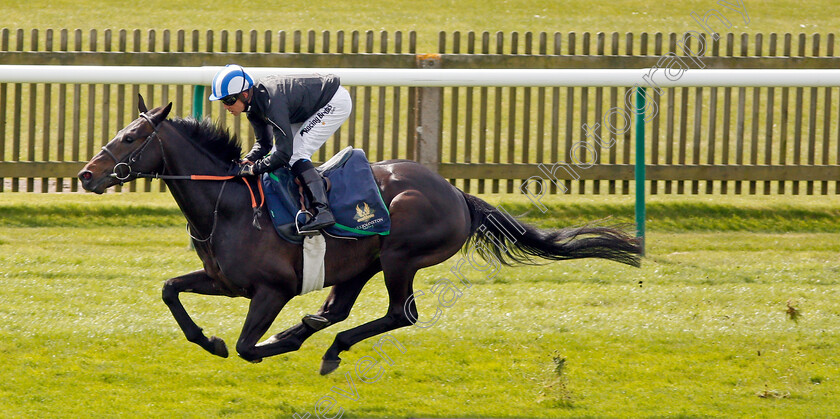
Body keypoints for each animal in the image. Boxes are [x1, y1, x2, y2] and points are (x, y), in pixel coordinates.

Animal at [79, 97, 644, 376]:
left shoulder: (271, 290)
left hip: (400, 257)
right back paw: (309, 336)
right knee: (336, 310)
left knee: (398, 315)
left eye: (131, 137)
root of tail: (457, 194)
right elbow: (170, 290)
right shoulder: (224, 281)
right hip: (359, 264)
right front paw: (208, 340)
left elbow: (245, 345)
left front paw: (253, 345)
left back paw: (324, 347)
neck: (230, 207)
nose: (86, 175)